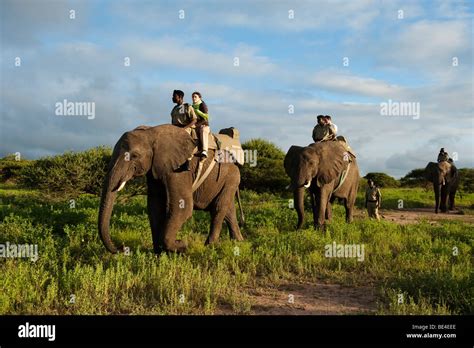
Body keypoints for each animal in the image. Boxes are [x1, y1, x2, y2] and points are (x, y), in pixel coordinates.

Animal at [97, 123, 244, 254]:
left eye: (134, 156)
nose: (122, 247)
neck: (150, 133)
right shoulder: (155, 169)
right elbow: (155, 206)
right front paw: (158, 254)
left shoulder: (179, 169)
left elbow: (183, 207)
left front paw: (182, 246)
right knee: (228, 210)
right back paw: (238, 242)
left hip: (231, 178)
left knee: (218, 208)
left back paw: (210, 246)